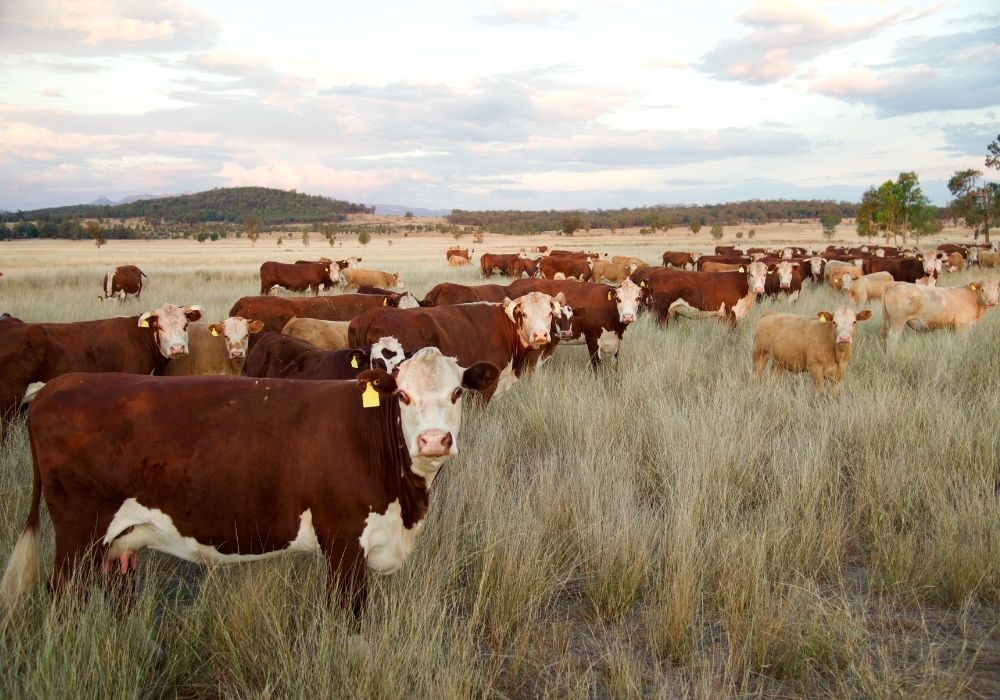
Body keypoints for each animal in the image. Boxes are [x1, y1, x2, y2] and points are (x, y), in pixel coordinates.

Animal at [0, 348, 499, 613]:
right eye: (403, 395)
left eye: (457, 392)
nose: (434, 440)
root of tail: (56, 386)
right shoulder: (343, 544)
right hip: (77, 535)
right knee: (64, 596)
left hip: (115, 542)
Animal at [506, 278, 644, 368]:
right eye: (618, 299)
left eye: (637, 298)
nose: (628, 316)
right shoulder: (592, 339)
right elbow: (597, 367)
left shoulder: (616, 341)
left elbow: (615, 366)